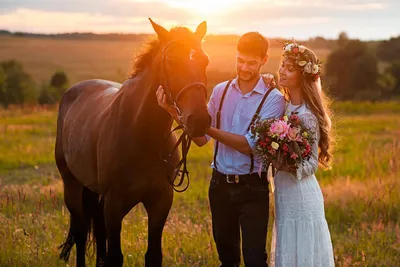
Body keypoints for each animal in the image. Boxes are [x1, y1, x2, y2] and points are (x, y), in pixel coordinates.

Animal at [55, 17, 212, 266]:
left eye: (204, 60)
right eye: (171, 60)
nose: (199, 120)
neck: (142, 134)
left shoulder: (160, 202)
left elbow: (153, 255)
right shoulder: (114, 204)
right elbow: (115, 256)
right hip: (72, 185)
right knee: (80, 232)